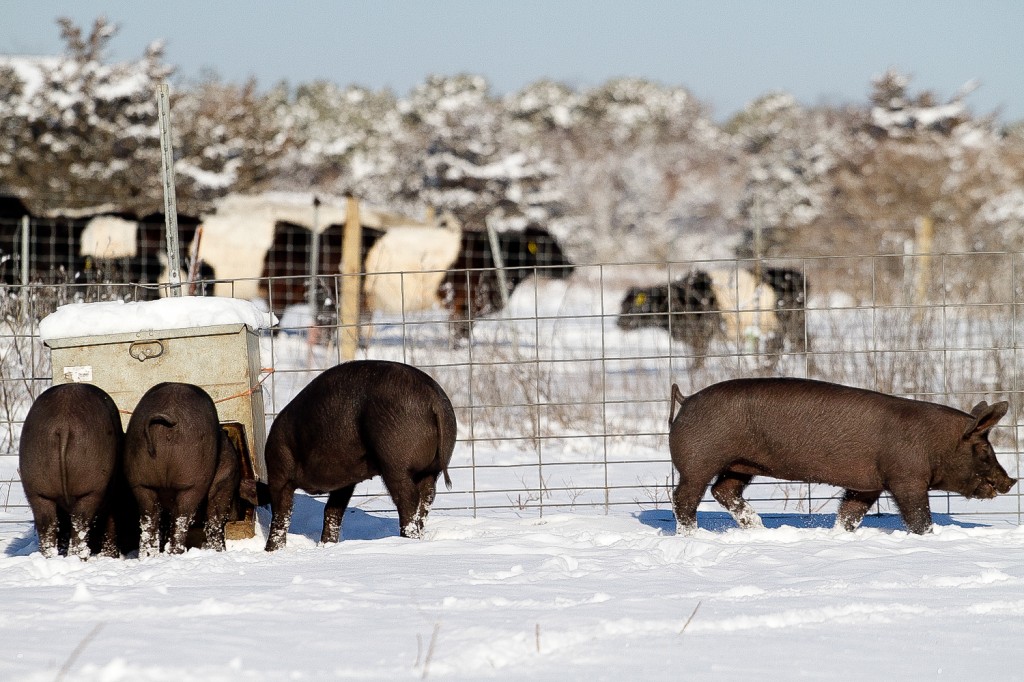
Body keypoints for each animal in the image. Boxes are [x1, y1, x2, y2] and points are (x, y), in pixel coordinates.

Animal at [18, 382, 136, 557]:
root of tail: (63, 424)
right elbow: (110, 525)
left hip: (36, 483)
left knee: (48, 523)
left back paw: (51, 556)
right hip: (90, 487)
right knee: (80, 524)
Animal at [123, 378, 237, 557]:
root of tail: (167, 420)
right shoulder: (224, 483)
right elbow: (215, 519)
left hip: (140, 479)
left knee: (149, 520)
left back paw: (149, 556)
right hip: (192, 480)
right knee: (183, 519)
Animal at [258, 358, 458, 548]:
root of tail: (433, 399)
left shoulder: (279, 470)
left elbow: (282, 513)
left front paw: (272, 551)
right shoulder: (345, 481)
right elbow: (332, 510)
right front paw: (325, 547)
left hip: (395, 458)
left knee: (408, 498)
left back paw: (406, 539)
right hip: (433, 466)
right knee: (427, 497)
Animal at [614, 264, 806, 366]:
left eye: (632, 307)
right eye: (621, 305)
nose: (619, 323)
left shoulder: (701, 336)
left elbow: (698, 362)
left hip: (788, 326)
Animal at [663, 376, 1015, 532]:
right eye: (984, 451)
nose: (1010, 481)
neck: (936, 442)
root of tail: (687, 399)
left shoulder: (867, 484)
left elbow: (850, 514)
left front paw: (839, 535)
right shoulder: (907, 477)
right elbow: (918, 517)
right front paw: (927, 536)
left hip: (740, 465)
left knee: (724, 490)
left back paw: (758, 528)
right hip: (698, 460)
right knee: (684, 497)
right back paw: (690, 535)